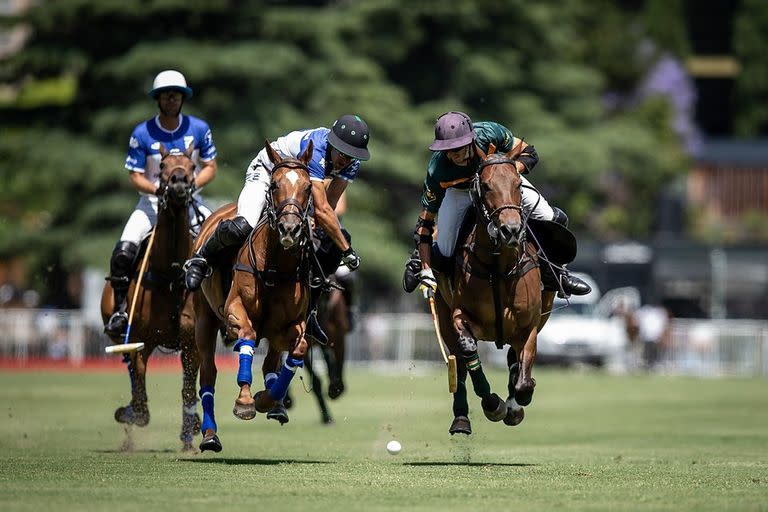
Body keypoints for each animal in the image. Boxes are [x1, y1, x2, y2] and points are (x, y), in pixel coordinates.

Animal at [100, 143, 200, 448]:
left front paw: (189, 435)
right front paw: (129, 413)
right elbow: (141, 398)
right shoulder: (140, 341)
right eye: (163, 166)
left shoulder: (191, 342)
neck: (170, 273)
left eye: (192, 166)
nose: (178, 183)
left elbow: (188, 389)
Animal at [195, 138, 316, 450]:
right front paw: (245, 401)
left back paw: (276, 405)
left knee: (272, 363)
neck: (274, 266)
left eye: (308, 187)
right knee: (208, 374)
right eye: (273, 185)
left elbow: (298, 349)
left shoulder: (287, 325)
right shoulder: (234, 309)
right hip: (203, 318)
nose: (290, 229)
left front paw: (266, 399)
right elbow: (247, 336)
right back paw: (210, 435)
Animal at [436, 144, 556, 436]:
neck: (498, 265)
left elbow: (524, 380)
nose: (510, 230)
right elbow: (467, 351)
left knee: (514, 360)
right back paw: (461, 418)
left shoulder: (529, 326)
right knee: (460, 361)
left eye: (517, 184)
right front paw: (493, 404)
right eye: (487, 186)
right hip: (443, 315)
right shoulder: (460, 315)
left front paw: (517, 403)